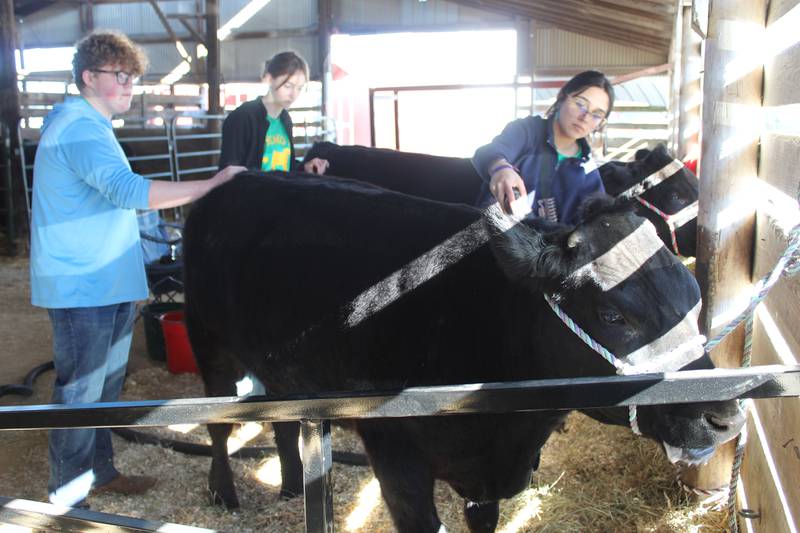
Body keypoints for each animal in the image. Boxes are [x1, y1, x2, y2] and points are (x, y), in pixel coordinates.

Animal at [184, 172, 748, 528]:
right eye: (613, 316)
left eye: (694, 297)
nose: (725, 417)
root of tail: (232, 184)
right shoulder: (394, 453)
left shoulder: (486, 477)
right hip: (208, 341)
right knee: (219, 427)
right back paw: (223, 491)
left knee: (278, 417)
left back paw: (292, 485)